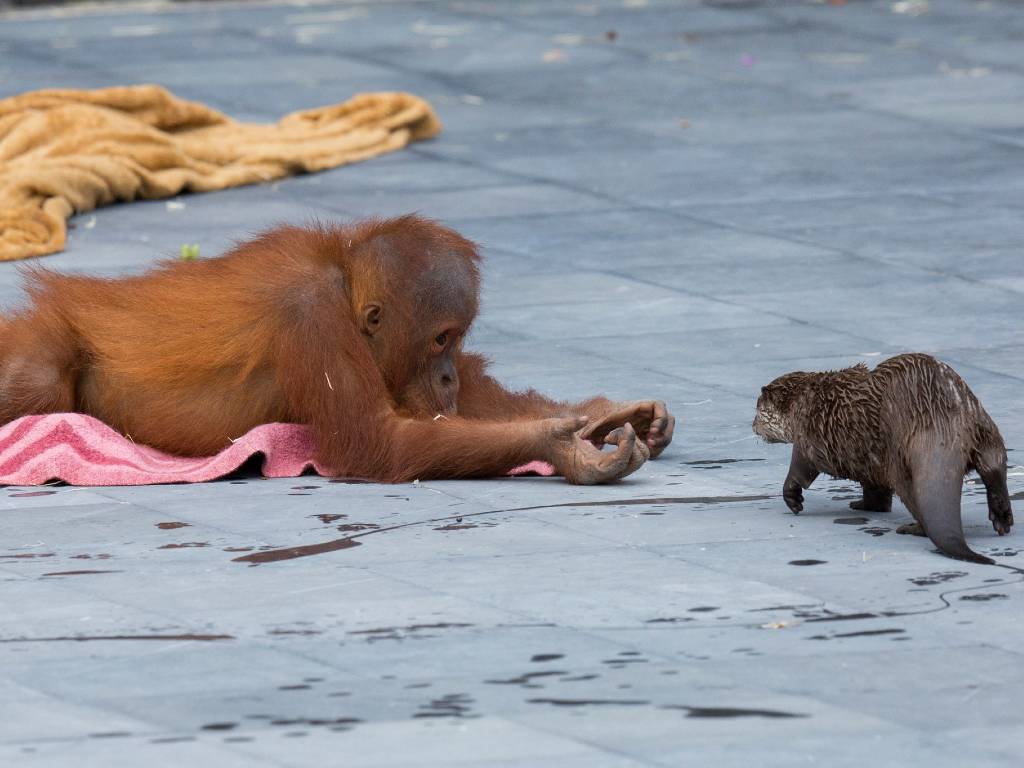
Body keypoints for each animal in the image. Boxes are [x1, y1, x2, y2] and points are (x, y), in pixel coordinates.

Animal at [753, 354, 1015, 565]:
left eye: (757, 410)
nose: (753, 425)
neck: (802, 402)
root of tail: (940, 422)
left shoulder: (809, 438)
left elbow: (801, 469)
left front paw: (793, 498)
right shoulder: (868, 459)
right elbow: (874, 488)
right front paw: (865, 505)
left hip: (899, 460)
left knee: (914, 498)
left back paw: (912, 528)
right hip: (983, 425)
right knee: (994, 464)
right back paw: (1002, 517)